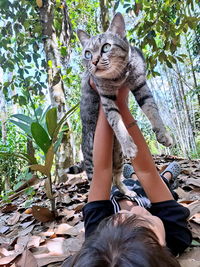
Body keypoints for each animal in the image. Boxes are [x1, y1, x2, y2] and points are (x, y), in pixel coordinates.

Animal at [77, 12, 173, 197]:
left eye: (106, 47)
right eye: (87, 54)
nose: (94, 61)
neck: (119, 77)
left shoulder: (141, 84)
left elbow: (152, 109)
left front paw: (163, 134)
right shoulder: (106, 97)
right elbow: (116, 121)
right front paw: (129, 144)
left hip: (117, 159)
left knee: (116, 178)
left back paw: (128, 192)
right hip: (94, 164)